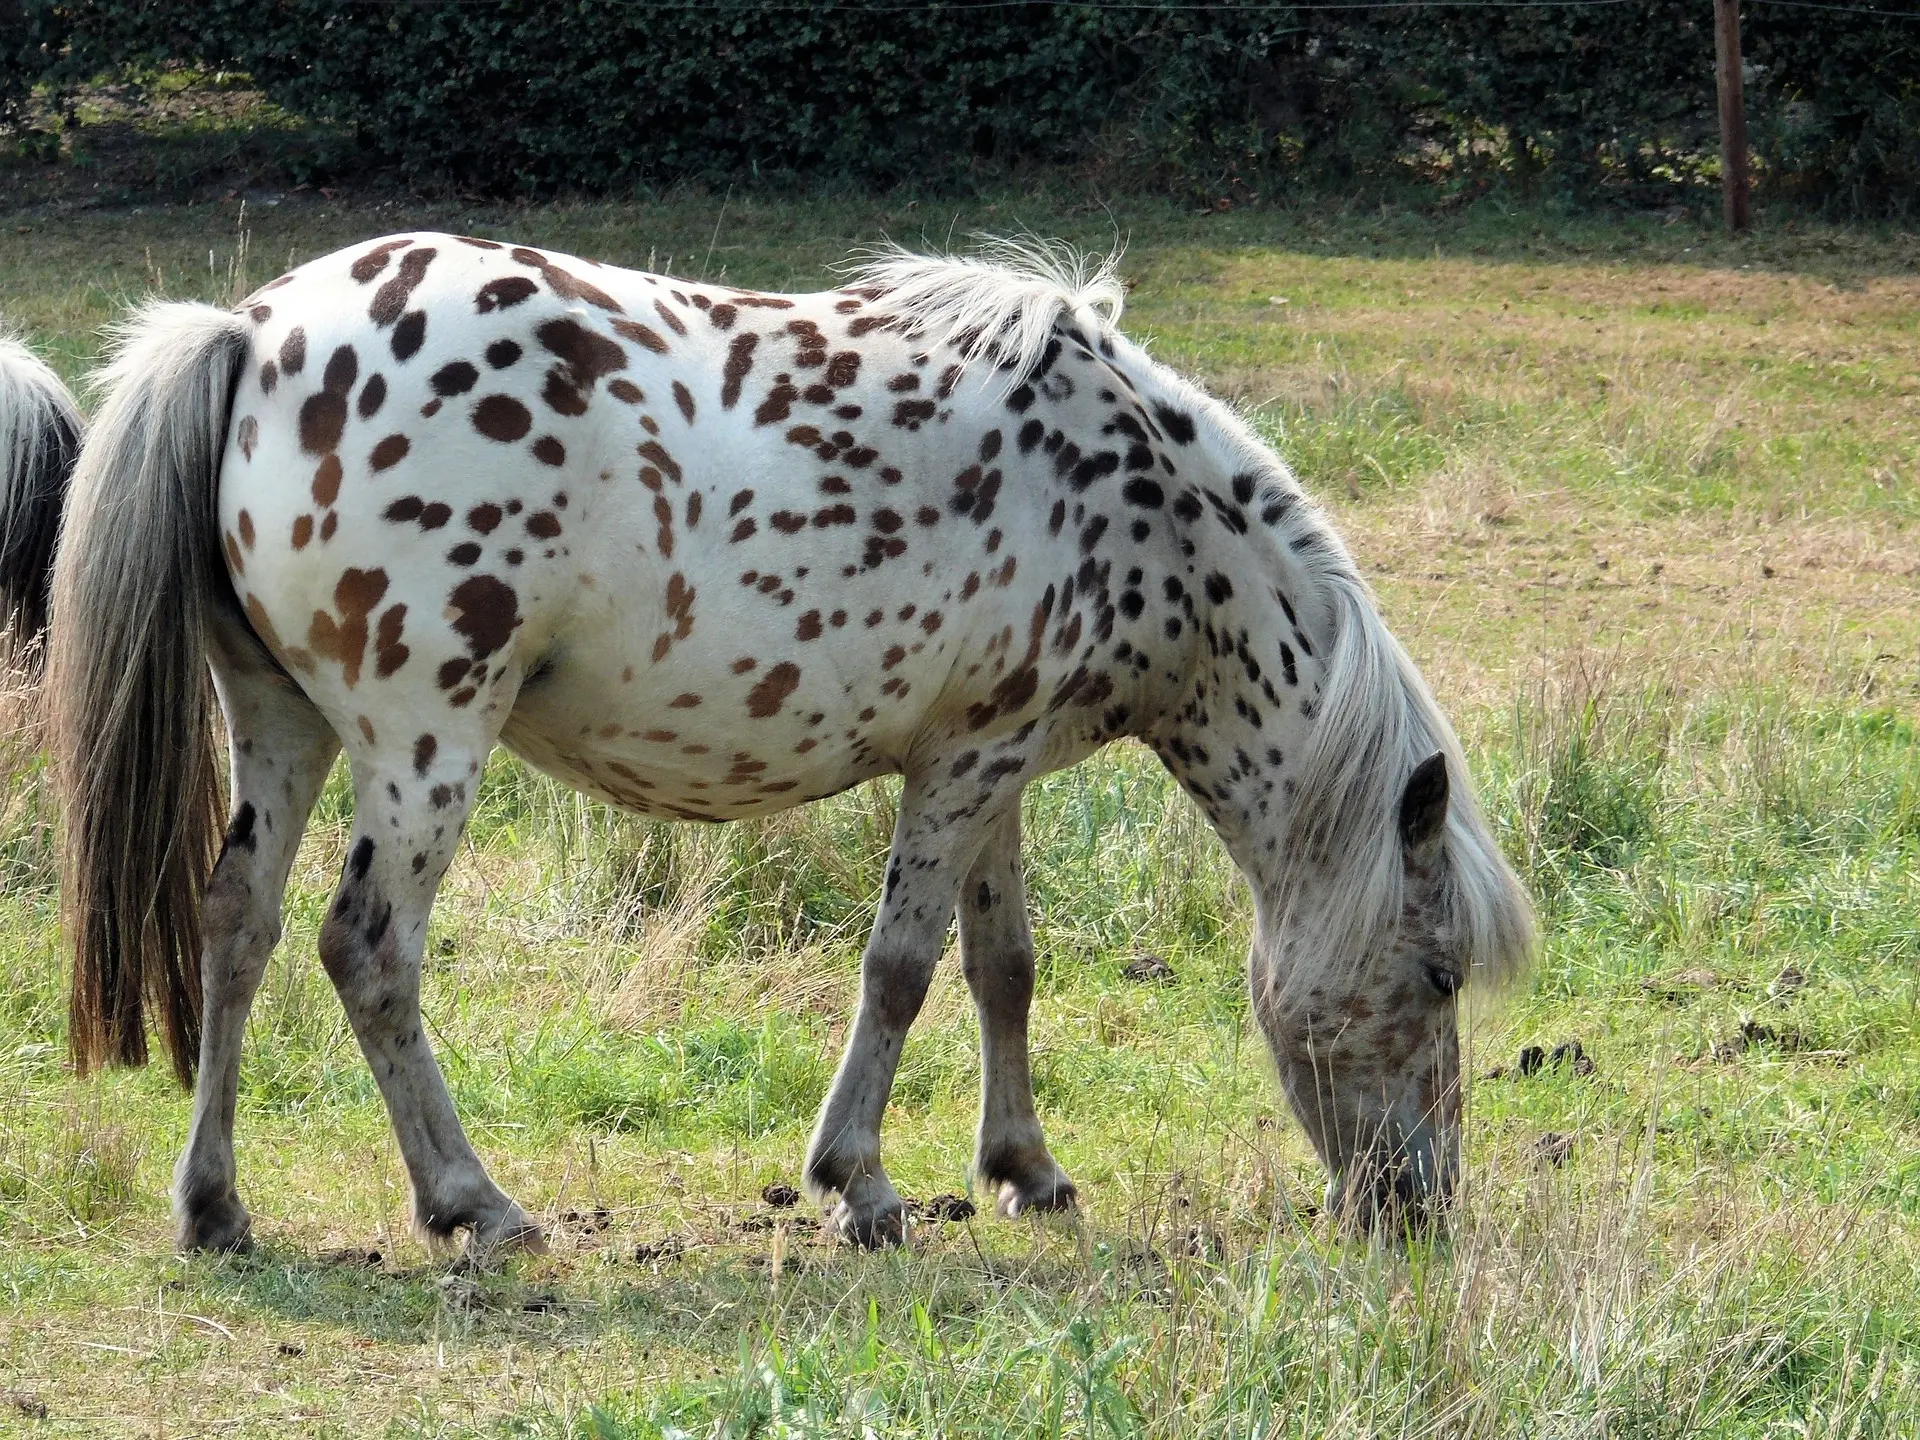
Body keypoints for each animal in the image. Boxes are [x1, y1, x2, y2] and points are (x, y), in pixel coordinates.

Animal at [30, 231, 1528, 1259]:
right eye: (1440, 974)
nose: (1420, 1204)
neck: (1143, 505)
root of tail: (252, 331)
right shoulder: (959, 773)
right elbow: (902, 973)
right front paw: (859, 1185)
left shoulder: (995, 763)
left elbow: (1004, 968)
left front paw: (1026, 1169)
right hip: (423, 740)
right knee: (368, 953)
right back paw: (473, 1201)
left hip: (279, 727)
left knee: (238, 923)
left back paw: (214, 1204)